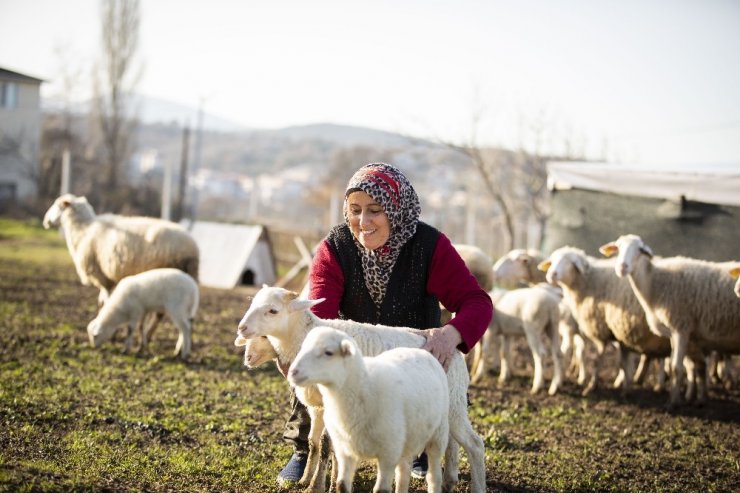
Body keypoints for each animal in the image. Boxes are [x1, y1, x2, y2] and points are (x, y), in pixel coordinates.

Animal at [42, 193, 199, 304]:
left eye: (58, 205)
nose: (45, 221)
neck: (83, 229)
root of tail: (192, 247)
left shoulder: (100, 274)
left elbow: (105, 297)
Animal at [290, 326, 450, 492]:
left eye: (328, 352)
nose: (292, 372)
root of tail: (423, 352)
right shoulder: (345, 452)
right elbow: (341, 485)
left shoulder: (388, 453)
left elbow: (381, 489)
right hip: (406, 440)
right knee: (403, 473)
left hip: (438, 434)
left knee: (433, 476)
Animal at [536, 246, 680, 396]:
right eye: (552, 261)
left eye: (569, 261)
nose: (551, 274)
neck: (591, 281)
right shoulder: (621, 331)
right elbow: (622, 359)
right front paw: (622, 381)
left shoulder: (605, 329)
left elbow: (600, 358)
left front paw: (592, 385)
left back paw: (660, 384)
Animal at [600, 234, 740, 408]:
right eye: (618, 248)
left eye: (639, 250)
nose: (622, 267)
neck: (654, 282)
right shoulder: (675, 333)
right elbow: (681, 365)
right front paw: (691, 398)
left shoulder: (681, 328)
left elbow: (676, 368)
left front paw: (673, 402)